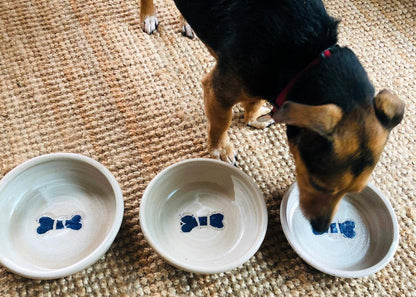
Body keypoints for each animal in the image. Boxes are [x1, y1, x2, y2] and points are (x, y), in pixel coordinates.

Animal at [139, 0, 404, 232]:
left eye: (353, 192)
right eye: (318, 184)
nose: (320, 229)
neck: (305, 57)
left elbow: (253, 100)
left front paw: (254, 117)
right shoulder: (218, 92)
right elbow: (221, 123)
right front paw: (220, 149)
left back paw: (189, 22)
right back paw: (148, 15)